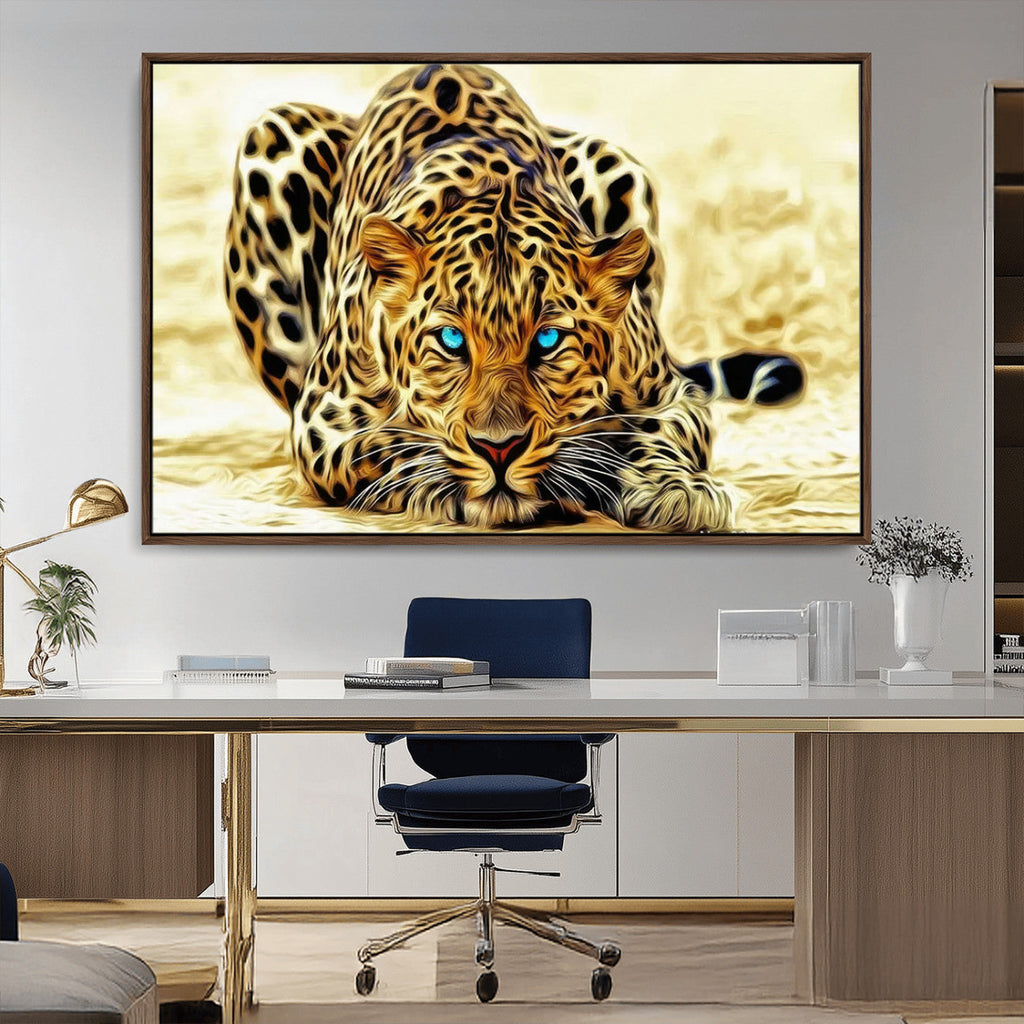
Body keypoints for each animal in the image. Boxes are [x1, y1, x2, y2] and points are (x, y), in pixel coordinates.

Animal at [224, 63, 803, 532]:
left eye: (548, 341)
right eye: (451, 340)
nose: (498, 448)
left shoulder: (669, 393)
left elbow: (661, 433)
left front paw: (677, 490)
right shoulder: (324, 418)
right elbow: (389, 446)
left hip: (616, 163)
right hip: (274, 136)